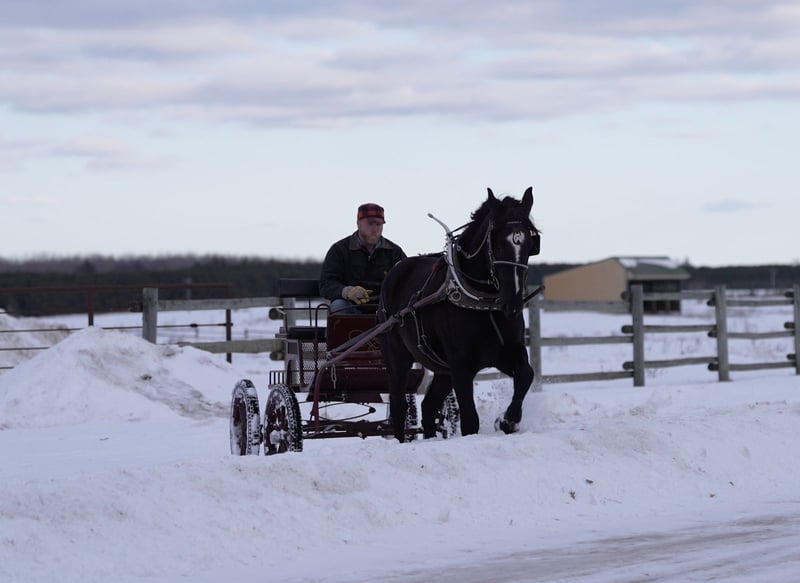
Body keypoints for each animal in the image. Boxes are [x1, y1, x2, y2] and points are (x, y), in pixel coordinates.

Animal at [378, 187, 541, 442]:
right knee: (398, 405)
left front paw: (507, 421)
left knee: (429, 405)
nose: (513, 303)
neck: (482, 303)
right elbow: (470, 420)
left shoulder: (505, 354)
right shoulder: (461, 365)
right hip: (396, 355)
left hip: (442, 367)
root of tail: (395, 271)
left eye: (529, 244)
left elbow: (526, 374)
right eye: (497, 243)